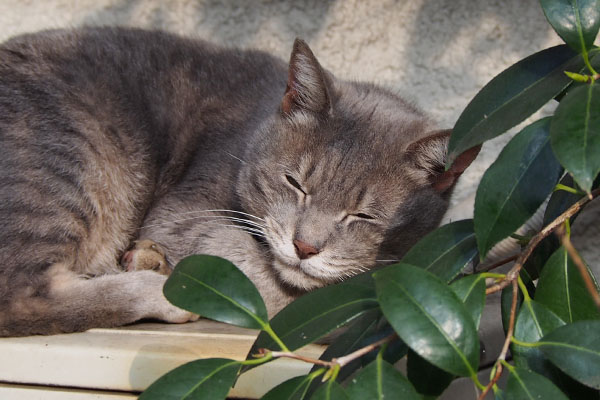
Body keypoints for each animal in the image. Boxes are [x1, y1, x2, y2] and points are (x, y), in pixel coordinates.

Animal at [0, 26, 478, 336]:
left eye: (363, 216)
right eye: (295, 183)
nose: (305, 247)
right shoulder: (181, 215)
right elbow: (250, 267)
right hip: (73, 161)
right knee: (19, 299)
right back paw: (157, 288)